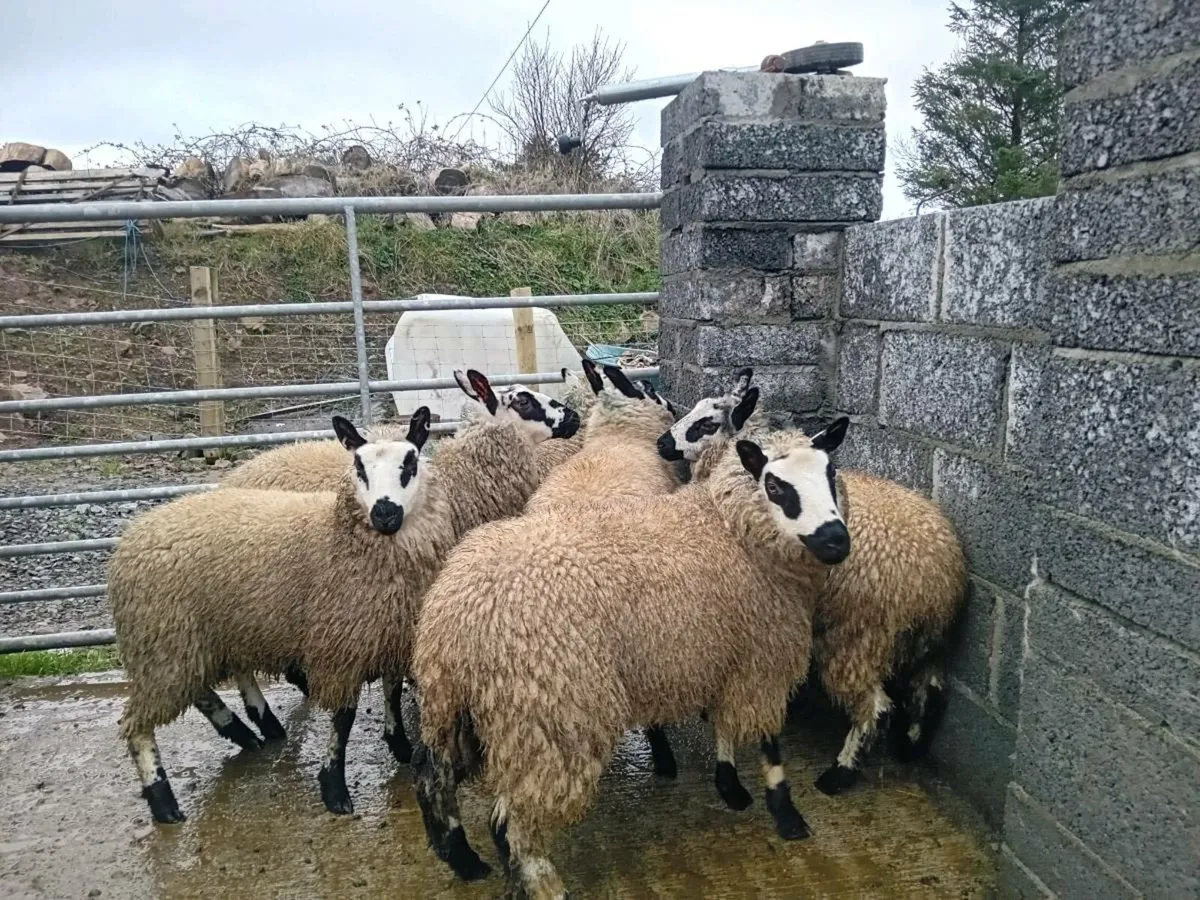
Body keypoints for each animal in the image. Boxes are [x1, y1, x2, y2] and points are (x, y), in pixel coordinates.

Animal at [109, 410, 451, 825]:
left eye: (410, 462)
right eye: (358, 466)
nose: (385, 513)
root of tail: (133, 535)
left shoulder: (389, 631)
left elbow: (391, 691)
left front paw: (399, 744)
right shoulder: (340, 645)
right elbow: (343, 718)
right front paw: (334, 789)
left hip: (198, 636)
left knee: (204, 686)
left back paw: (249, 728)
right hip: (165, 638)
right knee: (140, 723)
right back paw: (163, 799)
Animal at [408, 419, 853, 898]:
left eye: (831, 473)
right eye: (775, 485)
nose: (836, 540)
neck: (730, 529)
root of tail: (456, 615)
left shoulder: (726, 650)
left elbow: (724, 723)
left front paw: (730, 785)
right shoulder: (763, 655)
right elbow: (770, 742)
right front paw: (786, 816)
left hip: (457, 705)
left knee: (432, 774)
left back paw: (462, 858)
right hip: (547, 714)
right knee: (513, 819)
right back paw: (545, 883)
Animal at [654, 372, 968, 796]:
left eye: (706, 422)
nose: (661, 443)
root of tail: (938, 574)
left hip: (859, 636)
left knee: (876, 707)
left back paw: (839, 774)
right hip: (925, 639)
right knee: (931, 688)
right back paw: (909, 747)